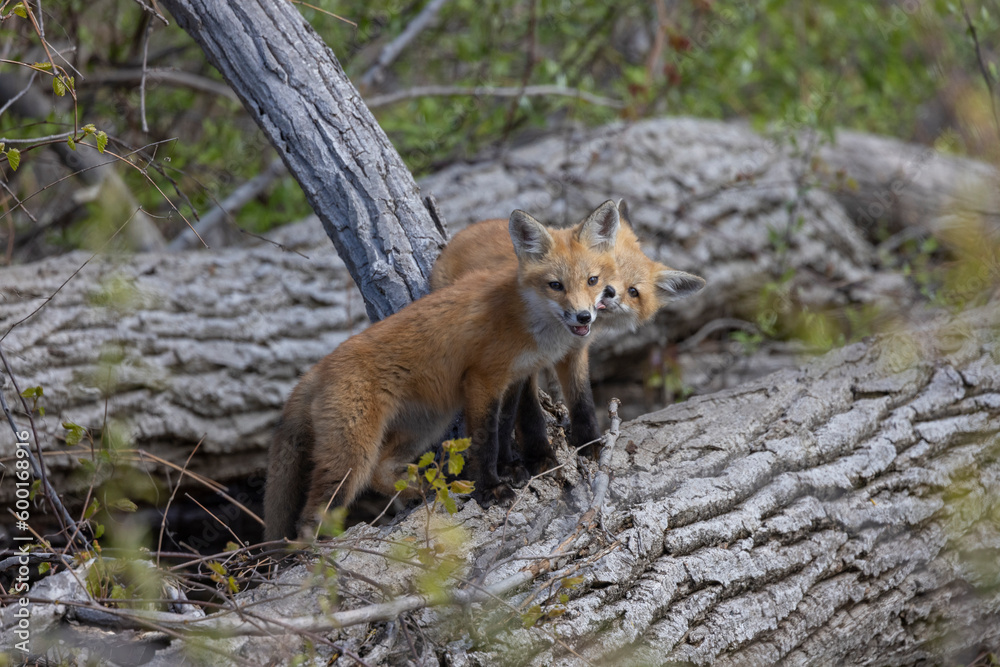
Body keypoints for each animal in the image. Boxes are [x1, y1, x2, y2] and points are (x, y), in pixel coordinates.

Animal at [264, 202, 621, 541]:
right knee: (311, 517)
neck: (527, 321)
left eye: (592, 280)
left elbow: (507, 425)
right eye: (555, 285)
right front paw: (490, 488)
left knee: (382, 470)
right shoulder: (482, 380)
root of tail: (318, 367)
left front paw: (511, 468)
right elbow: (485, 440)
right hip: (352, 457)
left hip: (425, 424)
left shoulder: (513, 378)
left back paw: (423, 492)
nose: (583, 316)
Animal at [430, 200, 705, 471]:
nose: (610, 292)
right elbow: (529, 412)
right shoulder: (523, 359)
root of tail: (468, 230)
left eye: (633, 291)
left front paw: (589, 442)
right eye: (608, 270)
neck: (560, 333)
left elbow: (582, 398)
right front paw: (539, 456)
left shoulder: (576, 351)